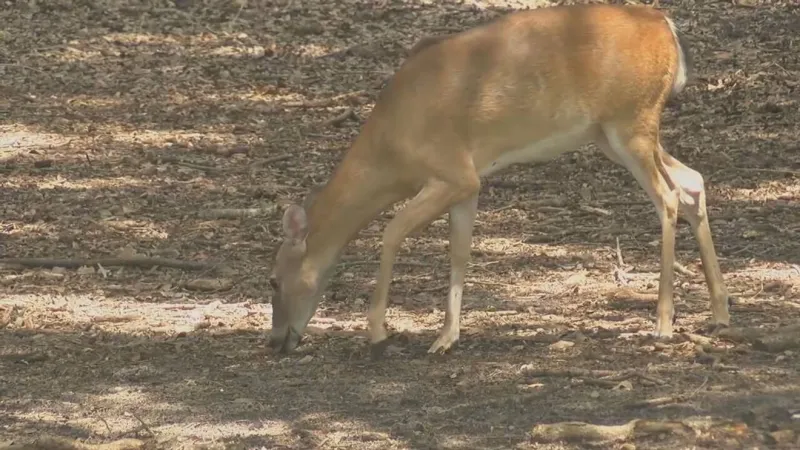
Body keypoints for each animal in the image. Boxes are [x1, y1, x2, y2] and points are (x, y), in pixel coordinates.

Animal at [268, 4, 732, 356]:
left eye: (272, 279)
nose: (275, 342)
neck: (391, 151)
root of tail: (666, 26)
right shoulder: (468, 181)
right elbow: (459, 251)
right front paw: (446, 338)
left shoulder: (449, 170)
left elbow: (391, 232)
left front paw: (379, 332)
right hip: (612, 132)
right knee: (693, 181)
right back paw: (720, 313)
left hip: (631, 119)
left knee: (668, 196)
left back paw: (664, 323)